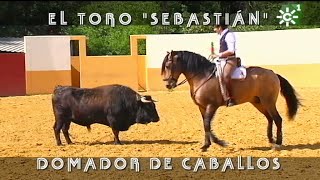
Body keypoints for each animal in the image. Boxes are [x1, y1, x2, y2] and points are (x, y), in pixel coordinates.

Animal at [161, 50, 302, 151]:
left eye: (168, 65)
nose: (168, 85)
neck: (202, 76)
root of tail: (273, 73)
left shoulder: (211, 105)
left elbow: (207, 123)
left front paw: (214, 144)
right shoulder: (202, 107)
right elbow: (206, 125)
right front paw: (211, 144)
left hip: (269, 102)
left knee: (277, 119)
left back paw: (278, 143)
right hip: (258, 102)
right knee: (269, 118)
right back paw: (271, 140)